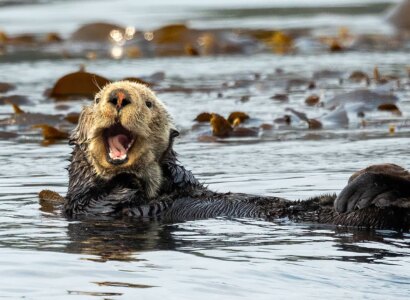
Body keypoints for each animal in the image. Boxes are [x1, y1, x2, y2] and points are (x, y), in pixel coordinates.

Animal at [38, 81, 410, 231]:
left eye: (149, 103)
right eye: (97, 98)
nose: (118, 96)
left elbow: (182, 177)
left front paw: (173, 170)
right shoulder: (82, 206)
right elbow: (96, 199)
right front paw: (128, 178)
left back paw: (364, 185)